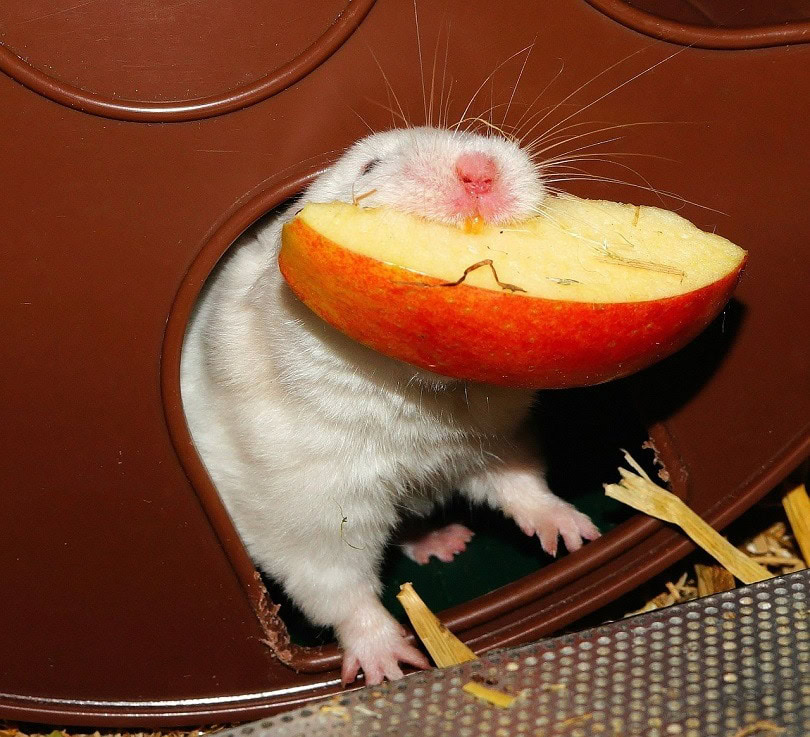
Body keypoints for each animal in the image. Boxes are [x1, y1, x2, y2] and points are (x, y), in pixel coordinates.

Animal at [180, 126, 600, 686]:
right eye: (369, 167)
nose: (479, 170)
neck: (422, 396)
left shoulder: (495, 439)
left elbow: (520, 484)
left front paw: (576, 534)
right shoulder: (307, 510)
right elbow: (339, 588)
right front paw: (391, 667)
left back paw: (449, 540)